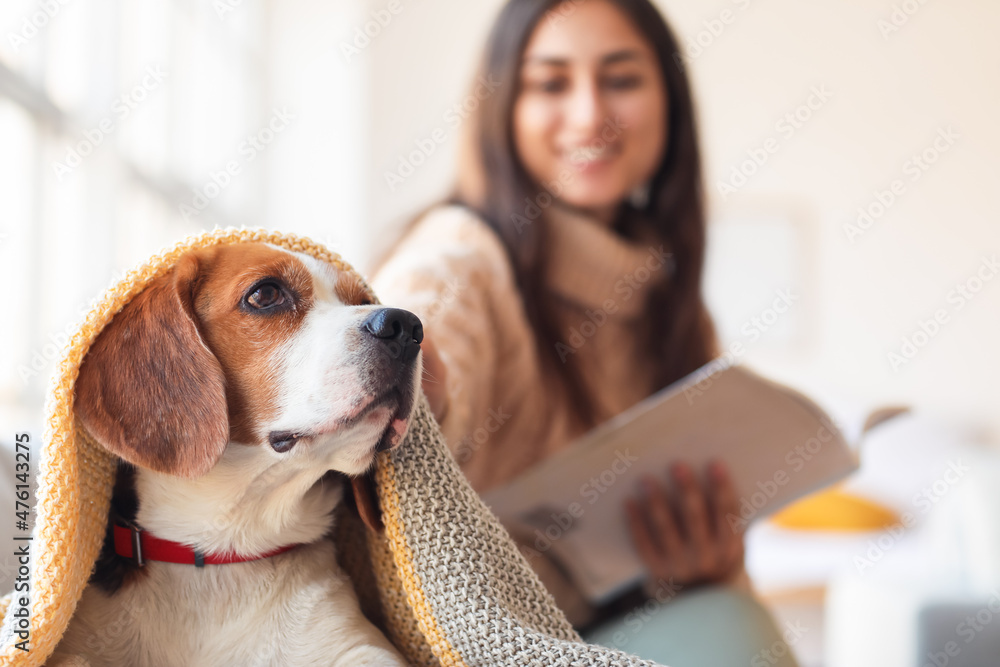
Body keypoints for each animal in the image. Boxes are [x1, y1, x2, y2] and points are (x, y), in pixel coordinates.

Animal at [49, 244, 418, 667]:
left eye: (363, 301)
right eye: (266, 294)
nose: (407, 326)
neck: (223, 550)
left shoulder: (360, 649)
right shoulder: (76, 650)